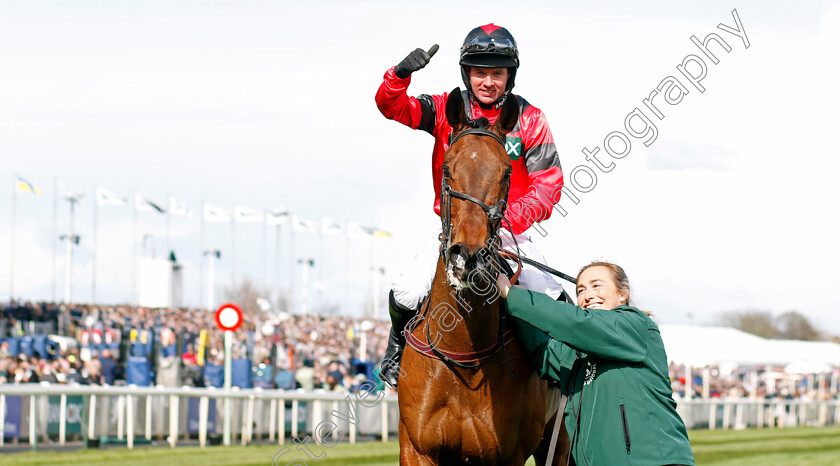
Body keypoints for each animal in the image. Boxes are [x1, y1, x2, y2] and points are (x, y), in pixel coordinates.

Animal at [398, 89, 568, 464]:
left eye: (506, 172)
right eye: (447, 168)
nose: (469, 256)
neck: (464, 356)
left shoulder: (509, 454)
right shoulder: (416, 448)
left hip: (559, 437)